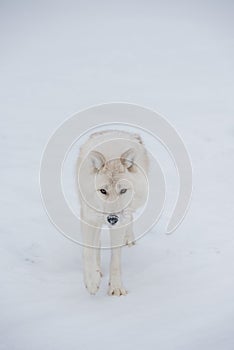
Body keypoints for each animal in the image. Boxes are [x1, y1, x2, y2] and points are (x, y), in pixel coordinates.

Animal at [77, 130, 149, 294]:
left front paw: (116, 288)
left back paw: (129, 239)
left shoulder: (118, 224)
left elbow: (115, 259)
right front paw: (92, 281)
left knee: (129, 218)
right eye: (103, 191)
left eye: (123, 190)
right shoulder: (89, 217)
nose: (112, 219)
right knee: (96, 241)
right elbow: (88, 252)